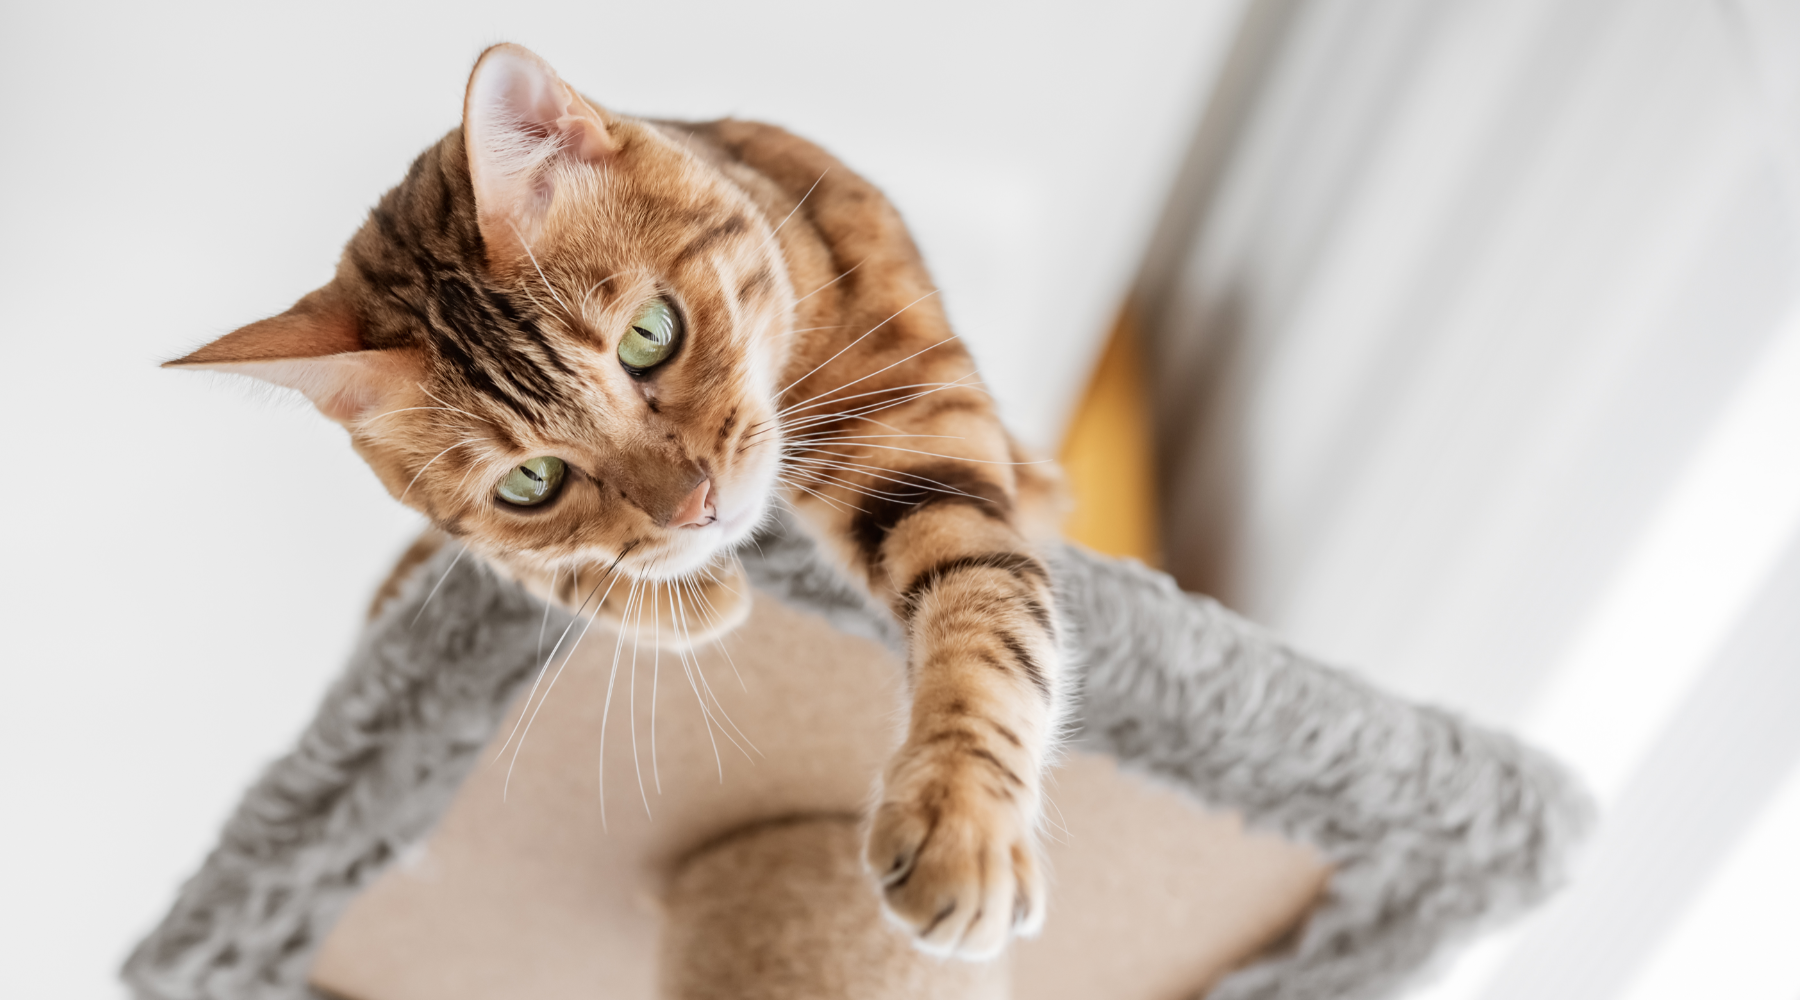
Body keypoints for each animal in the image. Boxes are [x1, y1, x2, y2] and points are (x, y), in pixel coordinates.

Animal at [165, 44, 1065, 964]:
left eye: (649, 335)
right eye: (531, 481)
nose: (698, 507)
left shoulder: (924, 432)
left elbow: (987, 608)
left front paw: (961, 820)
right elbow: (532, 562)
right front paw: (689, 593)